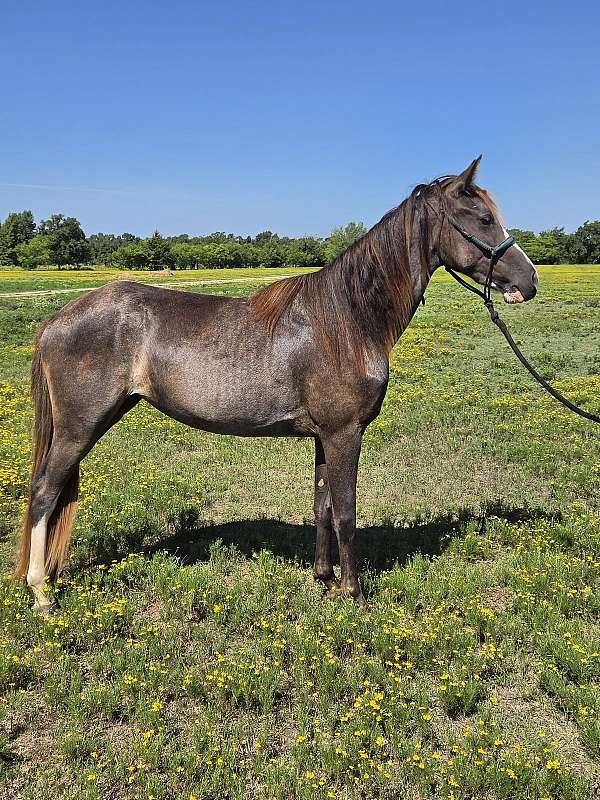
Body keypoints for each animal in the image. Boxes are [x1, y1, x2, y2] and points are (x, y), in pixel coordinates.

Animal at [16, 156, 538, 613]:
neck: (346, 322)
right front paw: (354, 594)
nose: (529, 281)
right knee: (43, 493)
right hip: (78, 429)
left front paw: (324, 580)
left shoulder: (325, 438)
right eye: (483, 218)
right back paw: (41, 592)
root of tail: (57, 319)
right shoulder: (345, 434)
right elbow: (346, 513)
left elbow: (323, 506)